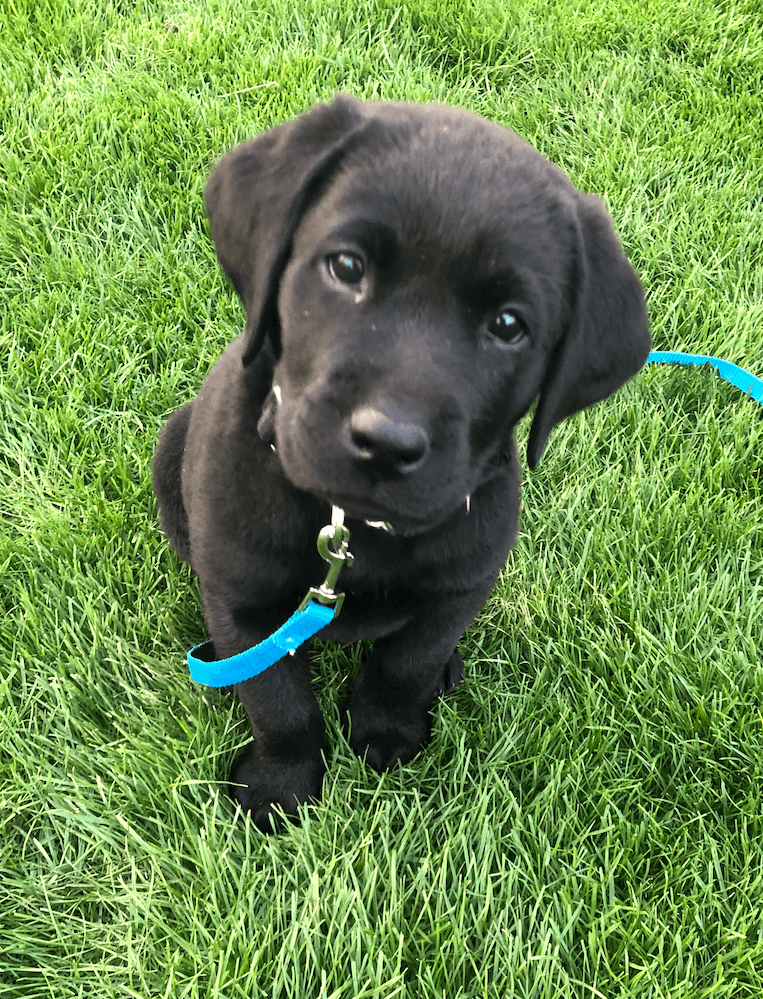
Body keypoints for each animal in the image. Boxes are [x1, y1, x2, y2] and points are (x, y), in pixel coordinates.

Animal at [154, 94, 652, 832]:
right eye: (346, 267)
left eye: (509, 325)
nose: (386, 441)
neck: (358, 531)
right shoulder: (242, 591)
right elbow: (277, 699)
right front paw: (281, 784)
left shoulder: (463, 582)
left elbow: (407, 663)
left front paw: (386, 732)